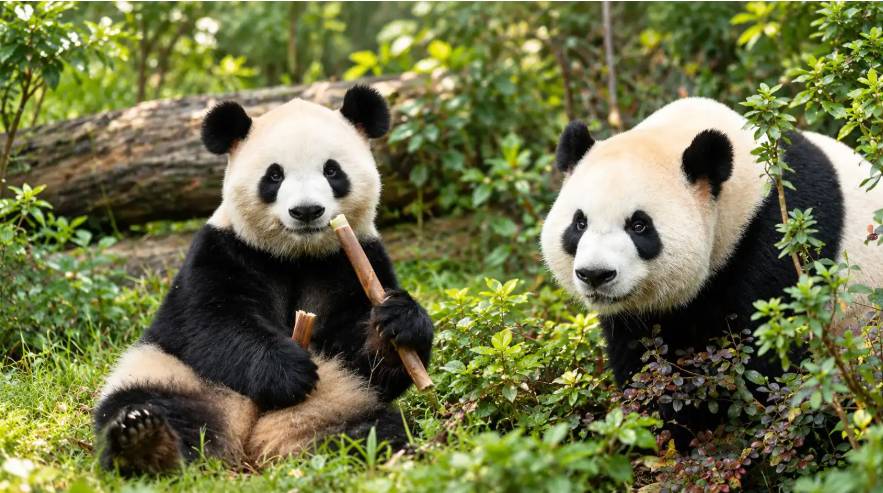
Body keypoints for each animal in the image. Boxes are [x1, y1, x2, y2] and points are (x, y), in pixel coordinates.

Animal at [93, 85, 434, 475]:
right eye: (274, 176)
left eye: (332, 170)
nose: (306, 211)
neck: (298, 256)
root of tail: (249, 443)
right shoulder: (223, 249)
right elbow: (211, 322)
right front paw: (289, 371)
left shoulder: (355, 259)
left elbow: (364, 358)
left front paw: (399, 321)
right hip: (175, 373)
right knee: (146, 401)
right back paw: (145, 443)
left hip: (341, 398)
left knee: (377, 429)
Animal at [541, 97, 883, 445]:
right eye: (579, 223)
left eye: (639, 226)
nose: (595, 274)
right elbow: (642, 354)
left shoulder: (778, 241)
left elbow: (770, 360)